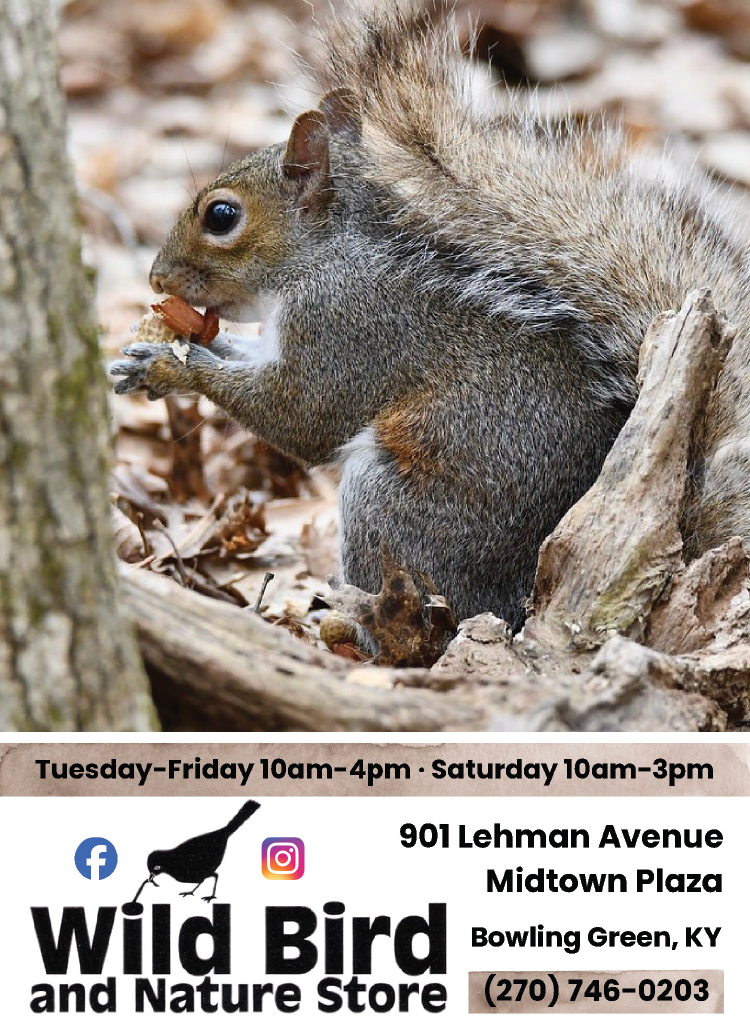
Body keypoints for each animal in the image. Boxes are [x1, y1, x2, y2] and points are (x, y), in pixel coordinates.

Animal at [112, 1, 750, 632]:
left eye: (221, 216)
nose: (157, 280)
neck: (322, 258)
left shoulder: (349, 328)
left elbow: (299, 414)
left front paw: (173, 368)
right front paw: (151, 351)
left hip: (394, 508)